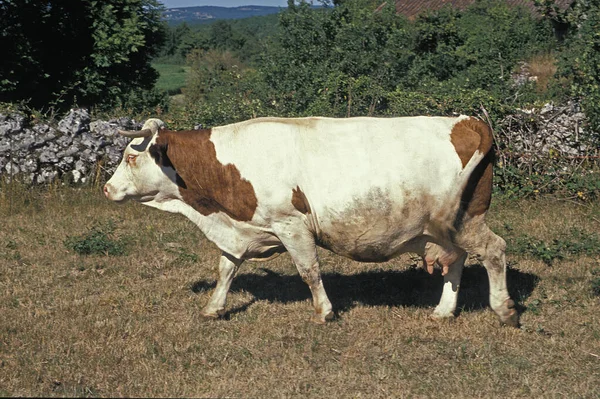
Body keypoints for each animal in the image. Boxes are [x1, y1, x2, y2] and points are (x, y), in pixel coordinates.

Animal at [104, 116, 520, 328]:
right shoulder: (241, 230)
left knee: (494, 250)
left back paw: (504, 309)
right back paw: (444, 310)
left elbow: (309, 271)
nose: (107, 188)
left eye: (130, 156)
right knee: (458, 260)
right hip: (446, 230)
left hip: (463, 219)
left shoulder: (291, 224)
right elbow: (226, 269)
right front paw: (213, 307)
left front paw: (324, 311)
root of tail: (468, 121)